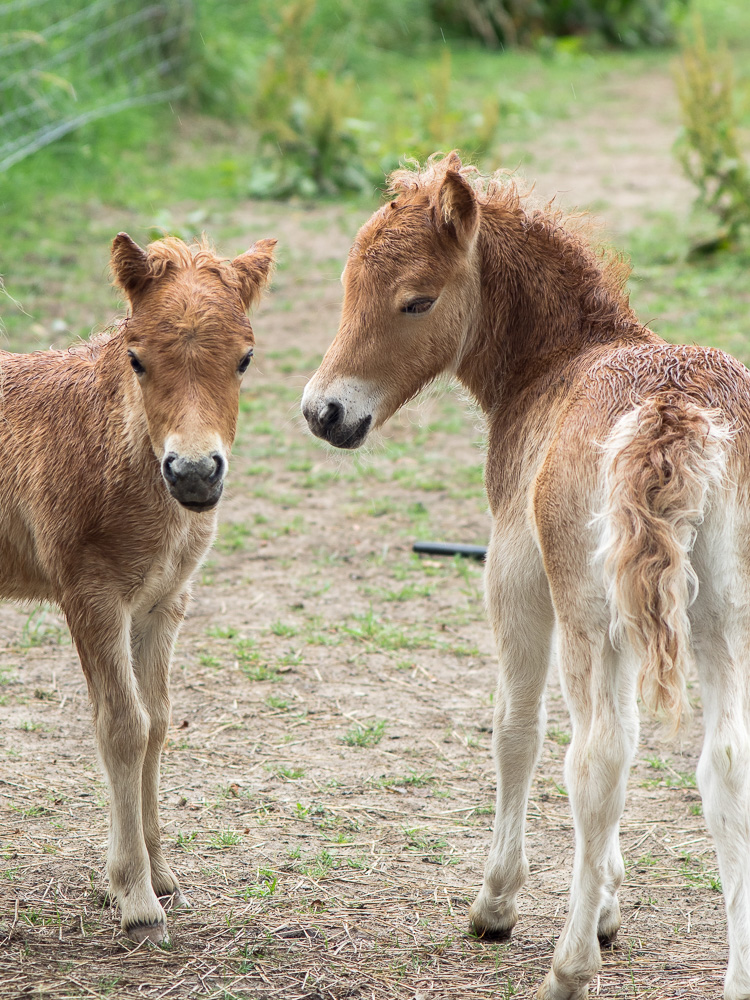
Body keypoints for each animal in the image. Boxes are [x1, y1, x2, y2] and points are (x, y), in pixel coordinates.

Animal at [0, 230, 276, 940]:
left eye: (244, 359)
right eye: (136, 359)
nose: (195, 473)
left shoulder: (162, 603)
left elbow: (157, 721)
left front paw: (162, 872)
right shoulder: (89, 596)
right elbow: (121, 724)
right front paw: (134, 897)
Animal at [304, 152, 750, 996]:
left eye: (416, 300)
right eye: (347, 286)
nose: (325, 413)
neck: (556, 363)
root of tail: (673, 412)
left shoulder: (515, 572)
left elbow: (518, 730)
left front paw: (500, 904)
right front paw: (609, 905)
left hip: (587, 612)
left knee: (596, 760)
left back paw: (567, 967)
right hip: (720, 621)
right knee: (726, 768)